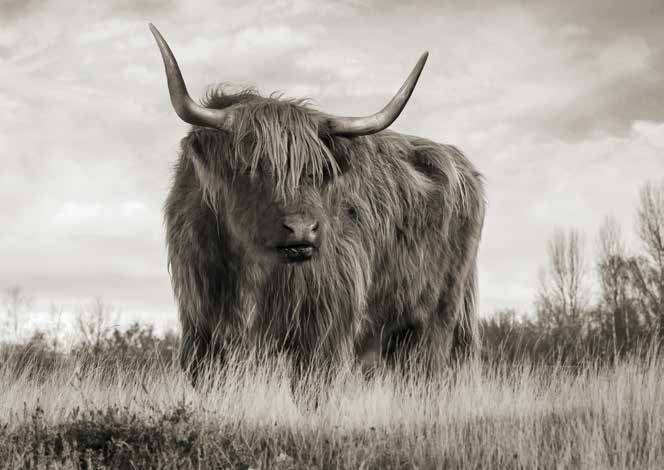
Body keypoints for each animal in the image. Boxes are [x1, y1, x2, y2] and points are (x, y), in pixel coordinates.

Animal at [150, 24, 485, 396]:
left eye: (318, 171)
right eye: (250, 166)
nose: (302, 229)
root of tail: (460, 163)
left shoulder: (324, 328)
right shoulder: (203, 329)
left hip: (436, 320)